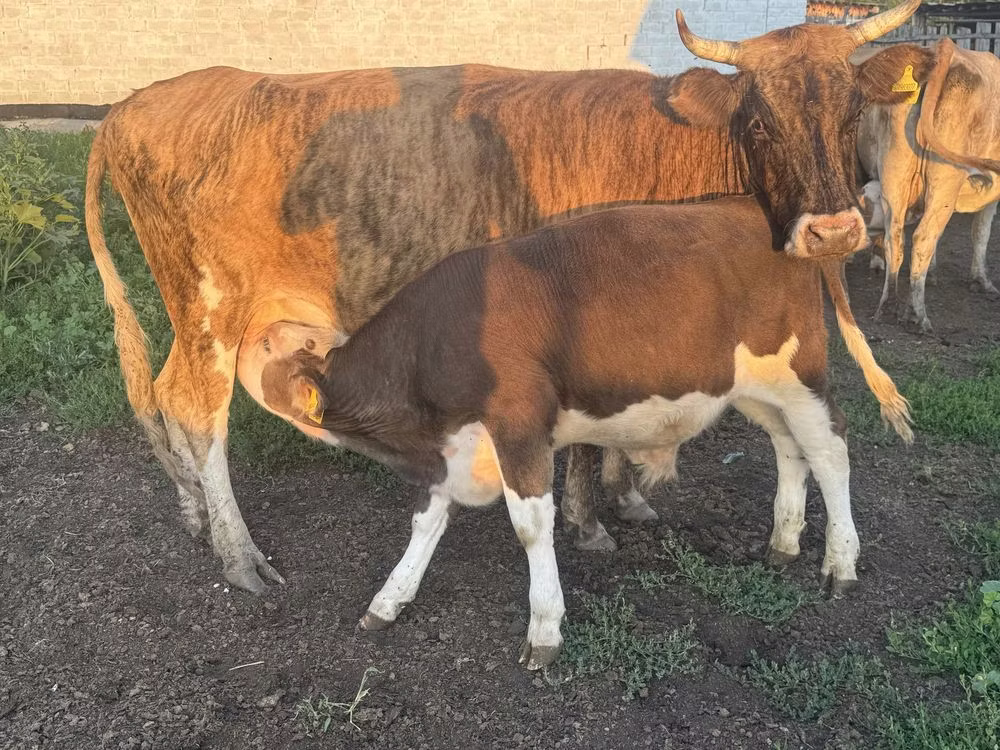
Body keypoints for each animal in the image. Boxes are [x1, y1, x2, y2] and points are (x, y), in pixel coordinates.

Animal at [85, 1, 925, 593]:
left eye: (853, 110)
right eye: (759, 120)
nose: (832, 231)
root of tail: (140, 100)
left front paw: (625, 496)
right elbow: (585, 440)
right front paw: (591, 520)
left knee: (163, 398)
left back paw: (195, 514)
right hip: (209, 309)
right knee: (194, 409)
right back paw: (238, 553)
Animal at [261, 196, 913, 669]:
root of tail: (783, 221)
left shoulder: (518, 426)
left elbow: (530, 527)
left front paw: (545, 629)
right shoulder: (452, 447)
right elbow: (426, 522)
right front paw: (389, 600)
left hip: (801, 373)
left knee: (830, 450)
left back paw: (840, 563)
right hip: (755, 387)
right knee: (788, 448)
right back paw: (783, 542)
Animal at [857, 37, 1000, 332]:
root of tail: (943, 50)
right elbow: (981, 232)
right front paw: (982, 281)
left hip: (894, 176)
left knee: (895, 238)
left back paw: (888, 306)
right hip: (945, 181)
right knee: (922, 236)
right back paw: (917, 315)